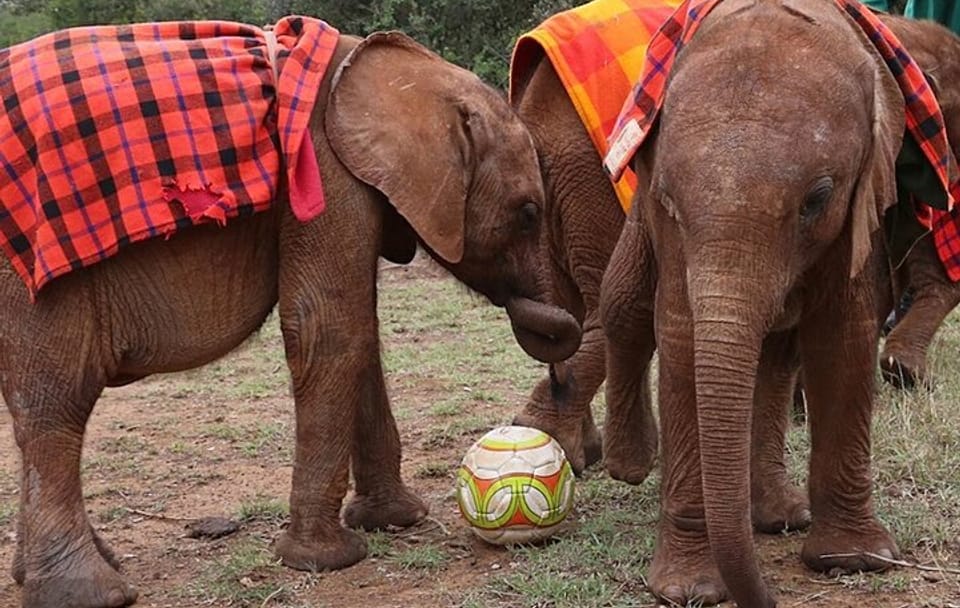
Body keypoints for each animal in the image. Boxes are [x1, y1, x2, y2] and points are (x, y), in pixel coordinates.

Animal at [0, 29, 581, 608]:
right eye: (528, 213)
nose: (556, 374)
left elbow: (359, 330)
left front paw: (395, 521)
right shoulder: (324, 176)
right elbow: (331, 328)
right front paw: (328, 560)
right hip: (32, 271)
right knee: (57, 401)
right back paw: (92, 593)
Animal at [598, 1, 957, 606]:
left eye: (817, 199)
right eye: (668, 199)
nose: (765, 597)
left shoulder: (864, 200)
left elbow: (843, 334)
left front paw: (855, 561)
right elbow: (680, 334)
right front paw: (688, 590)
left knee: (774, 356)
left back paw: (777, 517)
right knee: (622, 305)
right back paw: (629, 463)